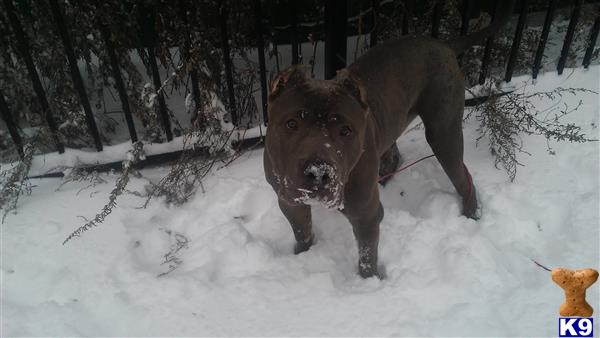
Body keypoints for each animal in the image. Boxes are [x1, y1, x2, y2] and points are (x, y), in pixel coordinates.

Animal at [264, 1, 512, 278]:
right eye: (291, 123)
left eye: (346, 130)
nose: (318, 173)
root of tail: (443, 44)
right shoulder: (289, 203)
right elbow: (302, 232)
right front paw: (302, 255)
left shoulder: (366, 216)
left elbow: (366, 257)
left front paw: (368, 282)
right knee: (393, 151)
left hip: (443, 133)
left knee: (462, 177)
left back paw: (471, 213)